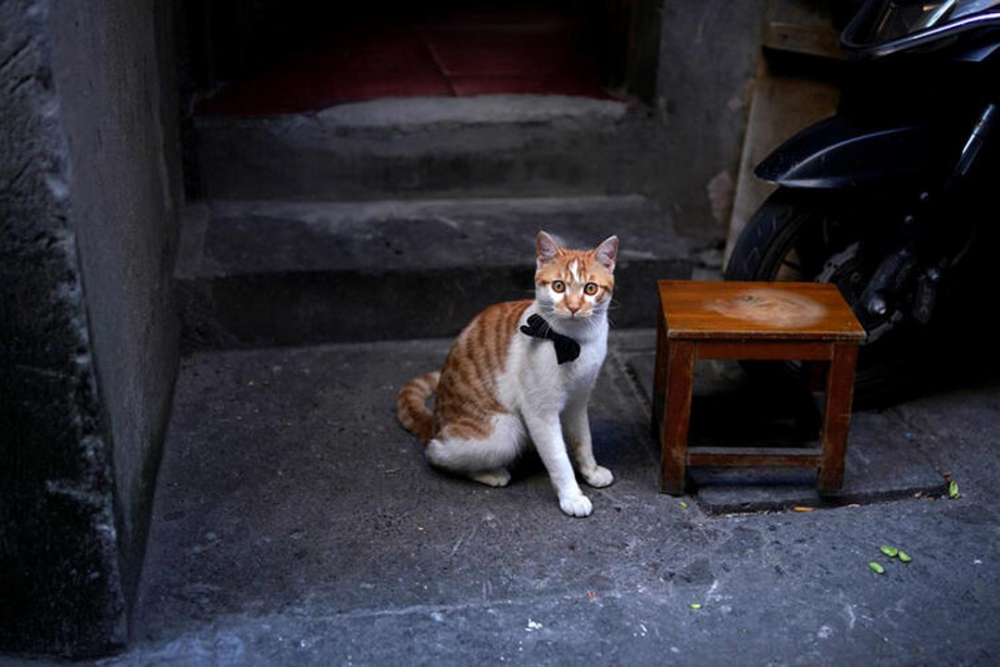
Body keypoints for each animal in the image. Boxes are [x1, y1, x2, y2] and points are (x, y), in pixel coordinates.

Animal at [396, 232, 616, 520]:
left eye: (590, 289)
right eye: (558, 286)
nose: (573, 307)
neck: (572, 342)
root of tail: (435, 422)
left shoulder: (578, 402)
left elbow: (583, 441)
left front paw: (590, 471)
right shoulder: (540, 412)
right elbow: (558, 458)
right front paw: (572, 496)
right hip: (505, 432)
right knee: (435, 453)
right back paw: (491, 473)